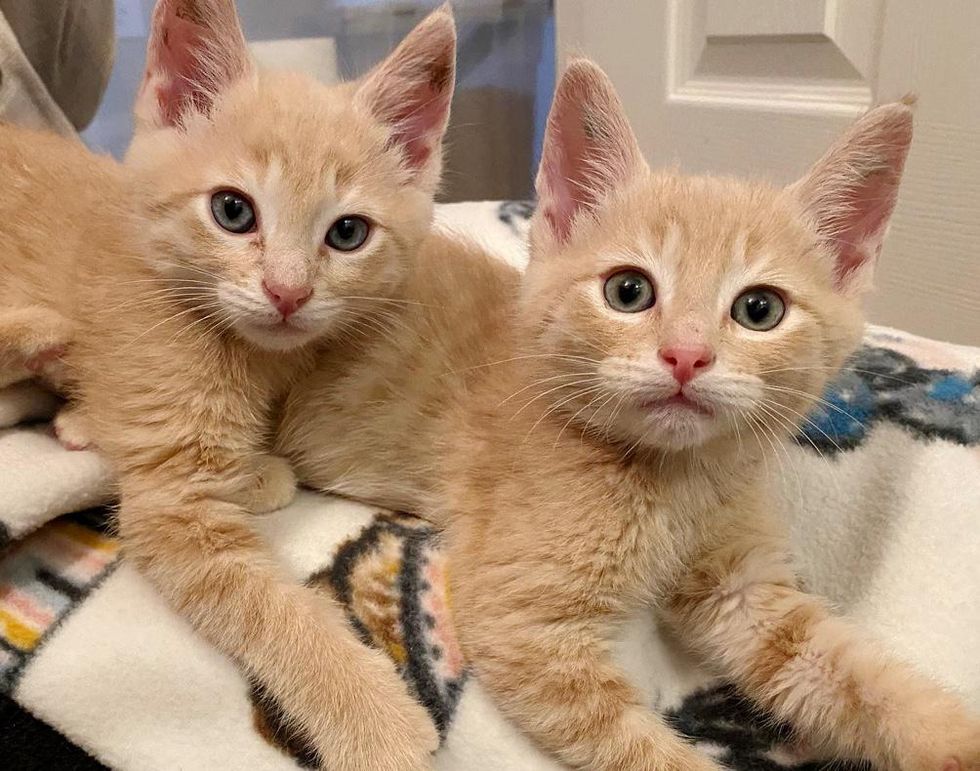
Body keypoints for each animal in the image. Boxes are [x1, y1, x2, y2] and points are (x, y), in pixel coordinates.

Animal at [0, 0, 460, 764]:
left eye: (348, 233)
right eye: (233, 211)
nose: (288, 293)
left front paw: (255, 466)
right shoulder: (173, 508)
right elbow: (266, 606)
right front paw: (375, 720)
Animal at [278, 61, 980, 771]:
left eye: (759, 309)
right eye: (629, 291)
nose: (686, 355)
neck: (674, 481)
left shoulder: (745, 590)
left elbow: (853, 675)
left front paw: (953, 738)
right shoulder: (522, 620)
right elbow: (642, 748)